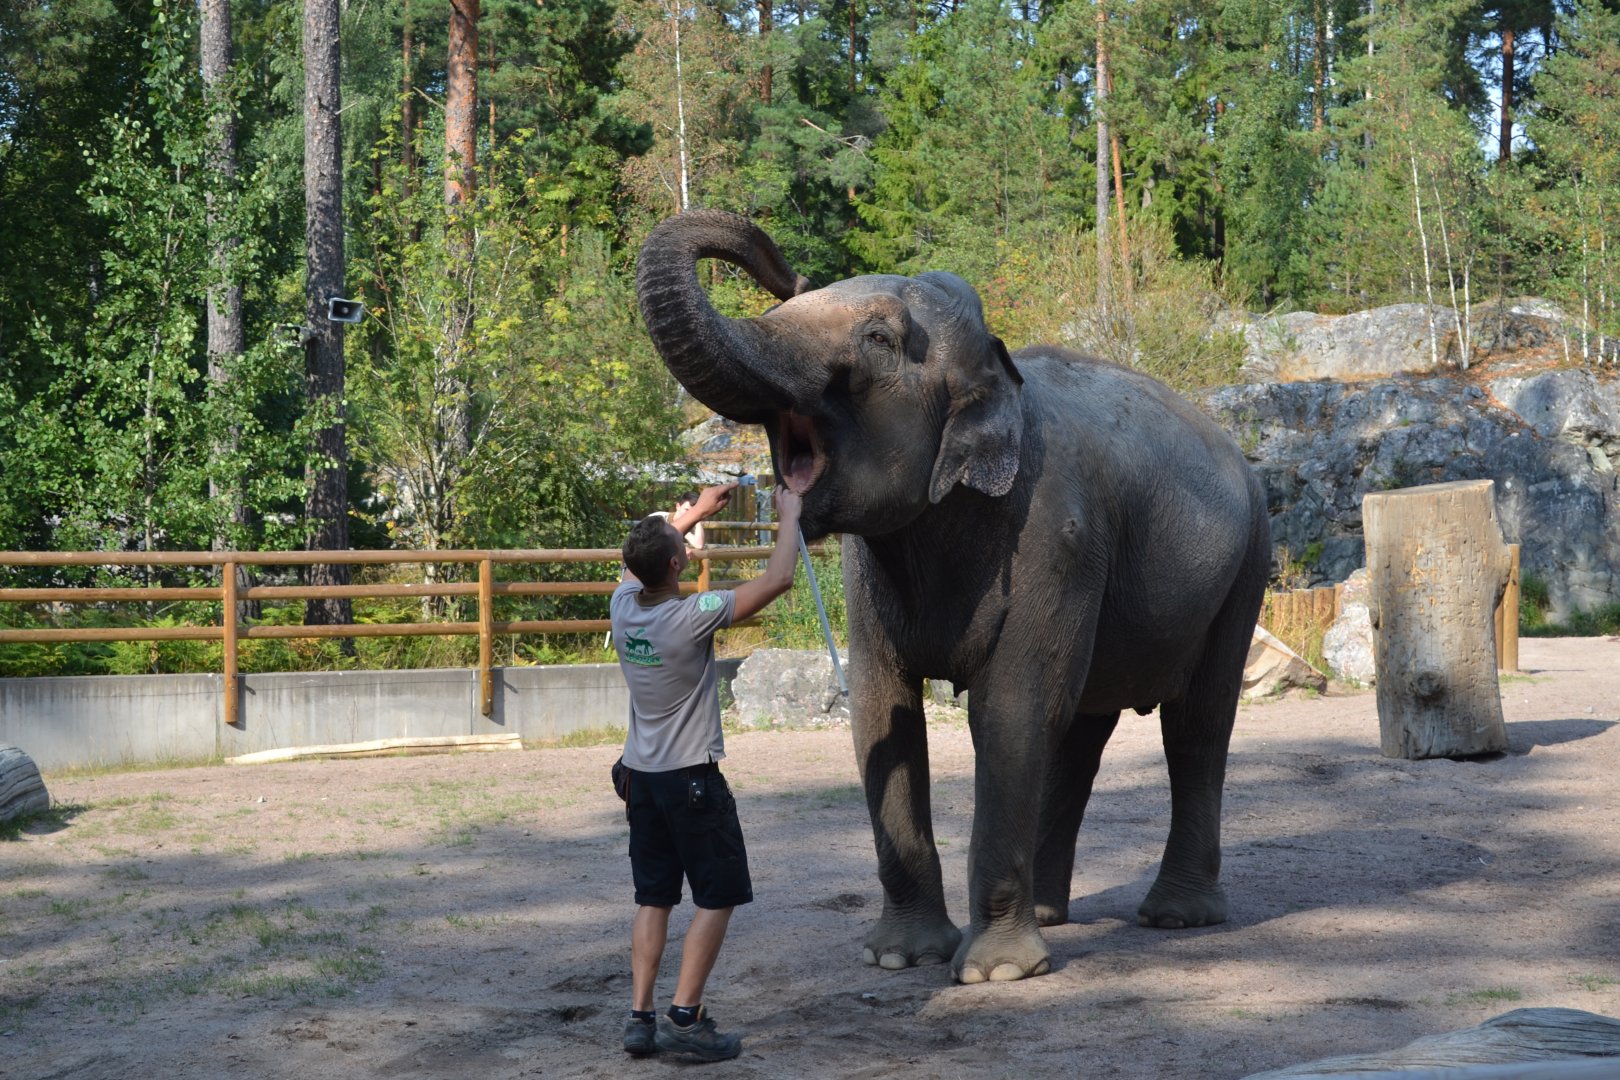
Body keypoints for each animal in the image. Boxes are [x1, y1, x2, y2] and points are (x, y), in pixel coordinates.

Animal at [636, 210, 1271, 984]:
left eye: (878, 340)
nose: (785, 269)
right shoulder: (872, 570)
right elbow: (884, 711)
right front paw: (898, 958)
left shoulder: (1055, 534)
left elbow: (1011, 708)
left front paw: (994, 973)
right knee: (1081, 732)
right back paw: (1053, 913)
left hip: (1247, 563)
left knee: (1196, 726)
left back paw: (1176, 917)